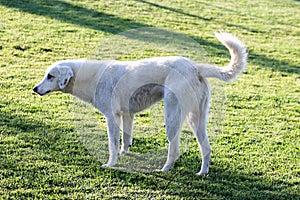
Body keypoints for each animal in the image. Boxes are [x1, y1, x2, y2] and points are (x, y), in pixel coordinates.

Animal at [33, 32, 248, 174]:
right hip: (197, 119)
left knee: (175, 149)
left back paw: (164, 169)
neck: (90, 76)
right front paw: (124, 153)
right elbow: (126, 139)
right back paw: (202, 173)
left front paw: (111, 164)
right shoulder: (127, 115)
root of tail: (195, 68)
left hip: (173, 117)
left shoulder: (111, 117)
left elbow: (112, 144)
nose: (34, 89)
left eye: (50, 76)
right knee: (206, 148)